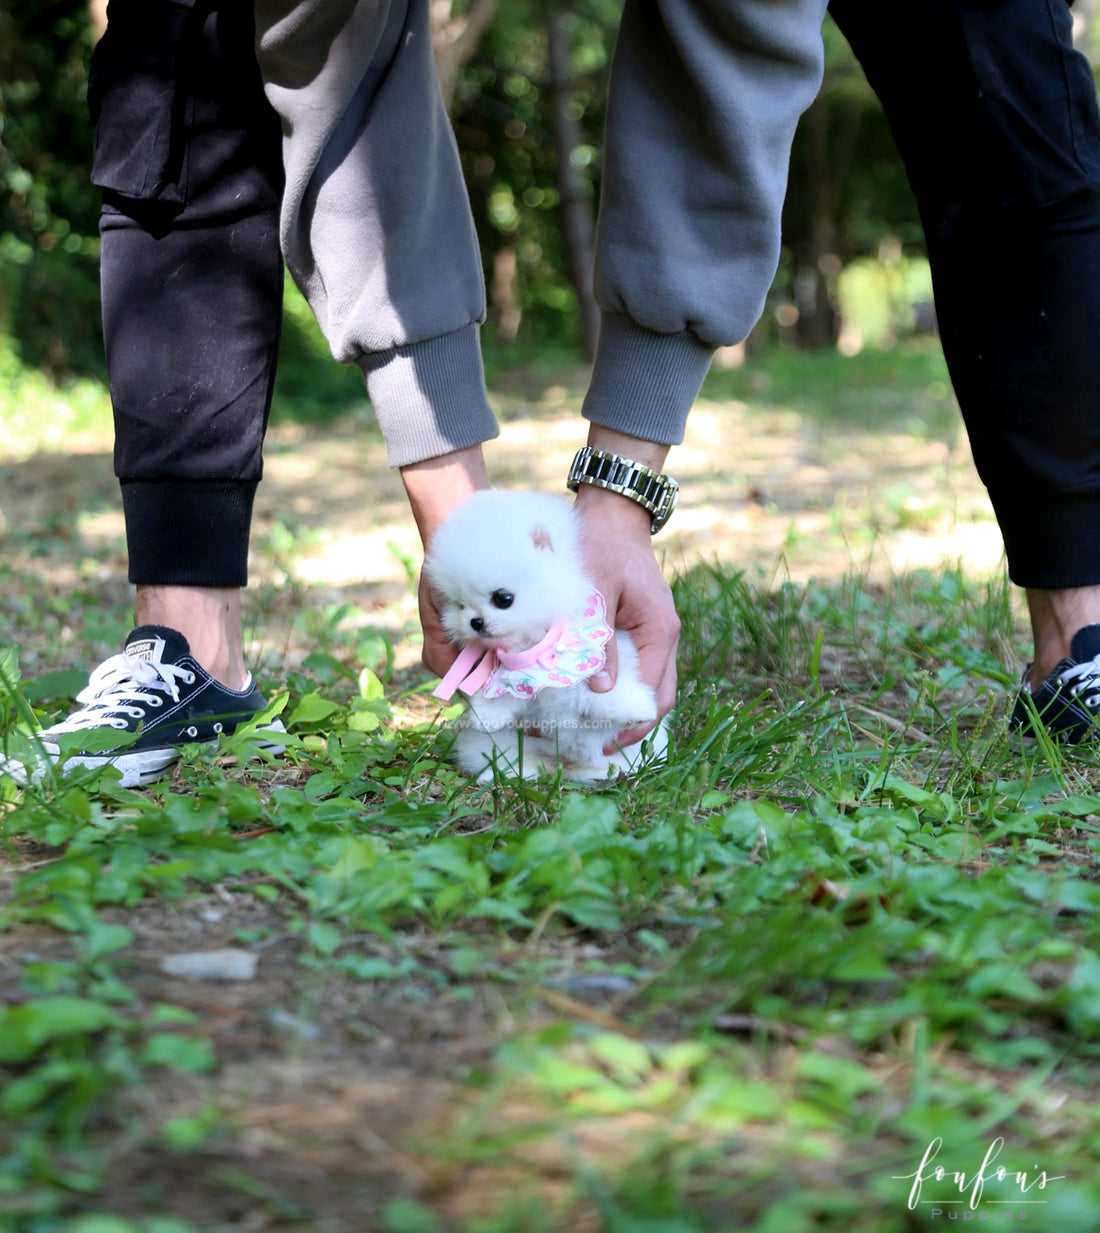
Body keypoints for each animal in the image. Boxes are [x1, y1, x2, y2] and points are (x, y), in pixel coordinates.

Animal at [424, 488, 670, 779]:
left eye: (503, 598)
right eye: (459, 605)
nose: (475, 622)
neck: (535, 648)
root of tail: (563, 765)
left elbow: (605, 688)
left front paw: (637, 709)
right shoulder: (513, 680)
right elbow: (501, 694)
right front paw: (486, 716)